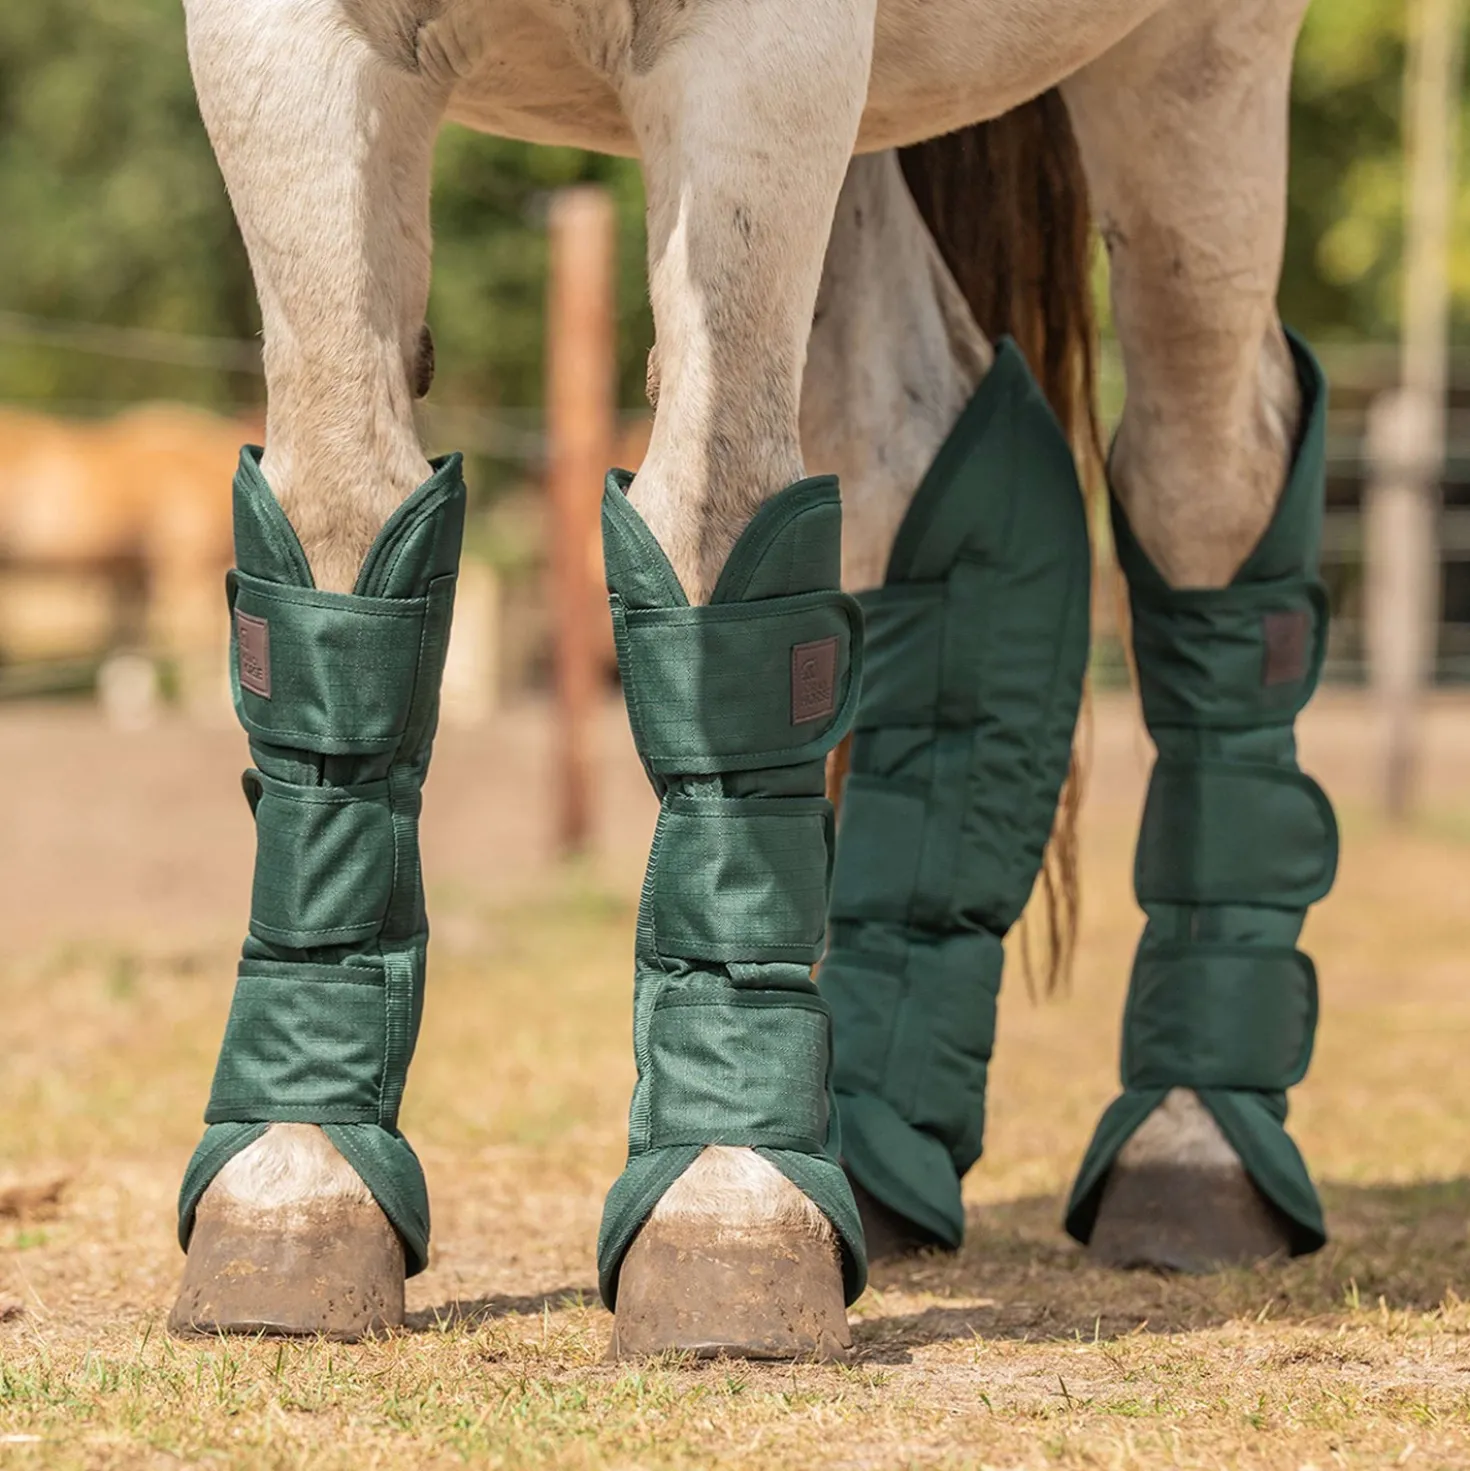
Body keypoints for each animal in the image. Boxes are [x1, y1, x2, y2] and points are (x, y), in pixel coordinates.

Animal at [167, 0, 1337, 1360]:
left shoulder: (761, 49)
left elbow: (711, 514)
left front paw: (731, 1201)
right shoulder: (277, 40)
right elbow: (343, 509)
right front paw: (296, 1181)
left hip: (1198, 60)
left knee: (1206, 474)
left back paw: (1195, 1146)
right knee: (907, 444)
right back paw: (872, 1158)